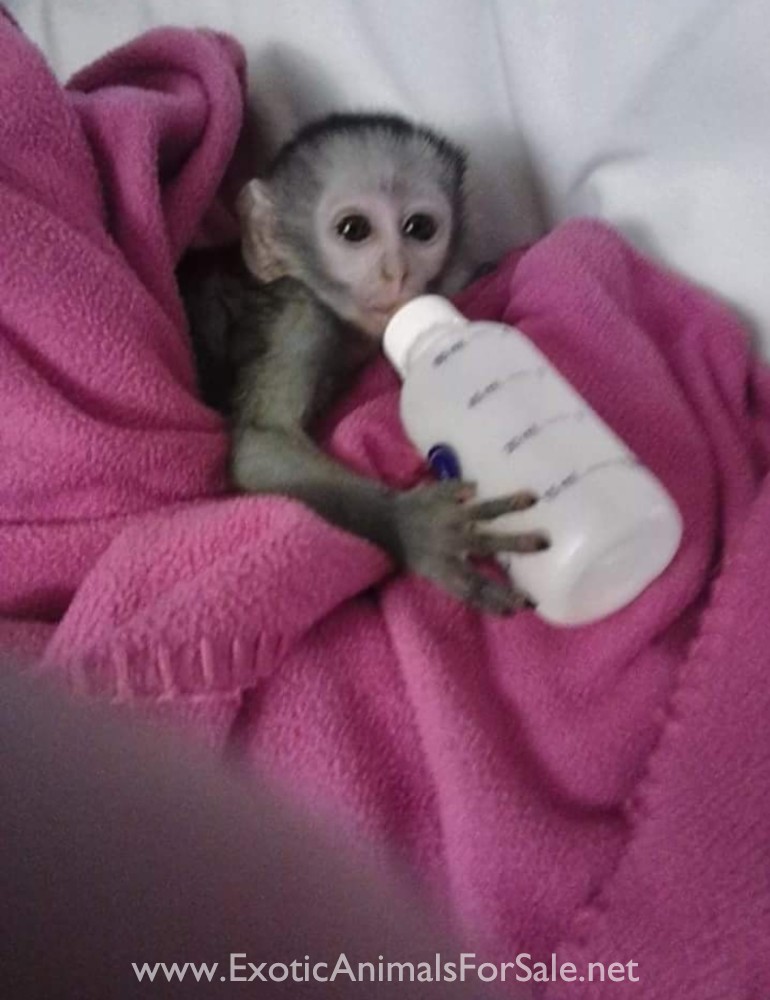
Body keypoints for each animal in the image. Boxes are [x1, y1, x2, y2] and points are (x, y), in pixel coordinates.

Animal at [179, 113, 548, 614]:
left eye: (419, 227)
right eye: (354, 230)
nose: (397, 271)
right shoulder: (302, 316)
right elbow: (261, 446)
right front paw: (412, 526)